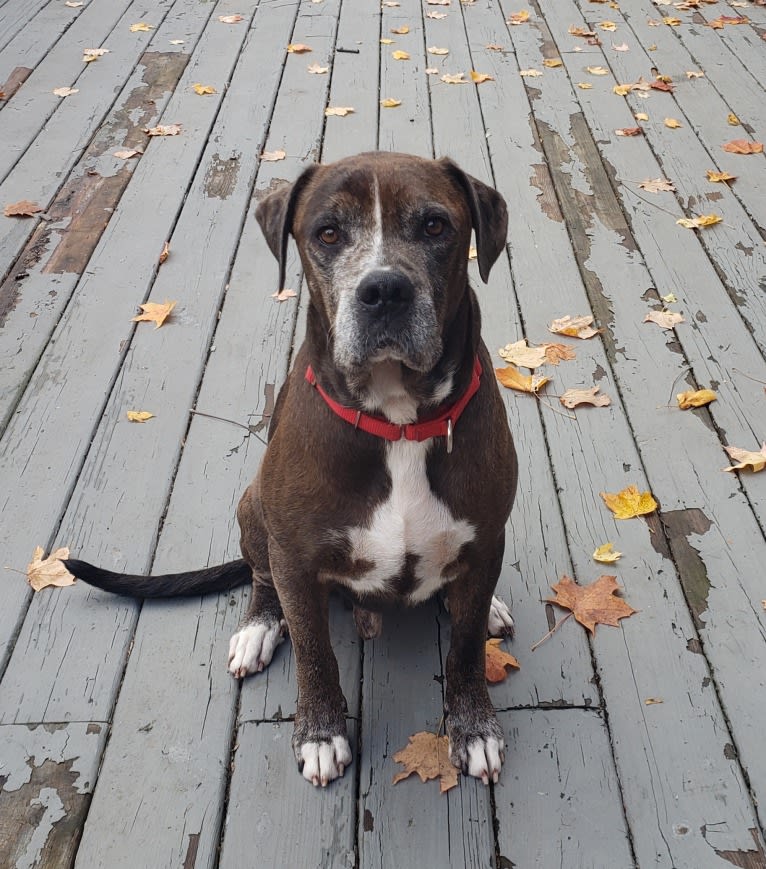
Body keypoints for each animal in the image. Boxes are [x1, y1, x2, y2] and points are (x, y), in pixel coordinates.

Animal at [67, 149, 520, 788]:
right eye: (326, 233)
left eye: (435, 226)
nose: (384, 289)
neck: (398, 420)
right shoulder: (297, 557)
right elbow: (313, 648)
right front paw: (321, 732)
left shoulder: (486, 536)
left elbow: (465, 648)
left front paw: (474, 725)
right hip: (253, 505)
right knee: (262, 579)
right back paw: (259, 627)